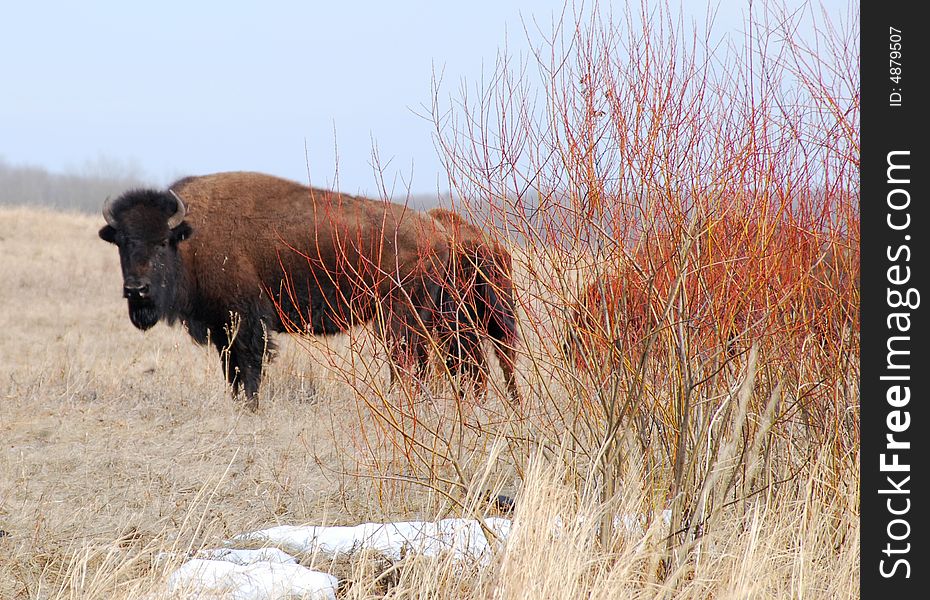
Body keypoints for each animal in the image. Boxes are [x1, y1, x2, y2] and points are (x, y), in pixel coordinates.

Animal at [99, 171, 448, 410]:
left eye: (161, 242)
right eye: (122, 242)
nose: (137, 289)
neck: (191, 238)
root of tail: (435, 232)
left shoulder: (247, 318)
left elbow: (248, 363)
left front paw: (251, 405)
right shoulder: (221, 325)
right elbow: (231, 368)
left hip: (396, 316)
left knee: (404, 358)